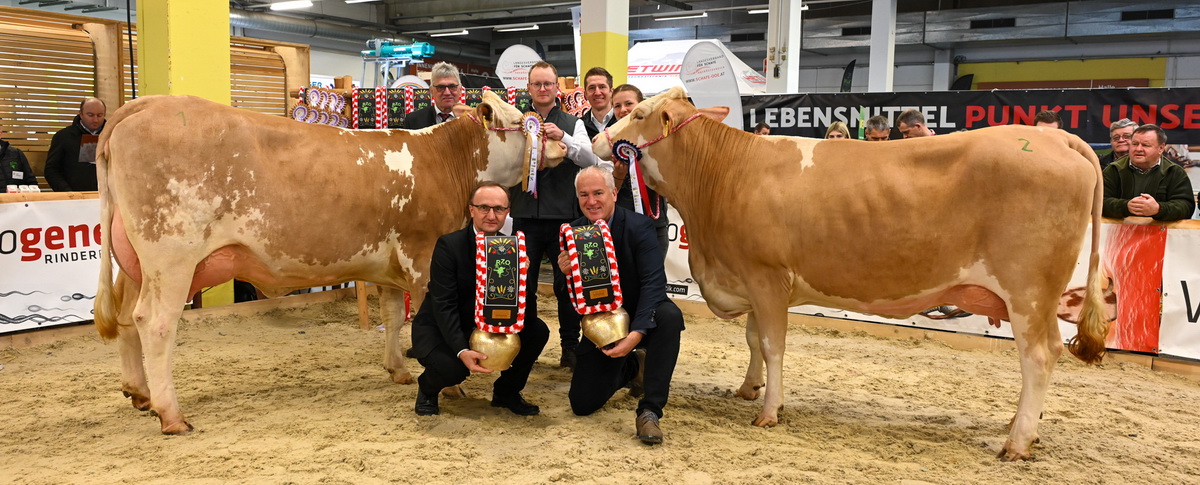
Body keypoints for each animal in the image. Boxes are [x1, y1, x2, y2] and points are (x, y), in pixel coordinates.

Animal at [93, 91, 561, 434]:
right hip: (171, 254)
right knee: (155, 323)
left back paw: (139, 394)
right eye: (521, 120)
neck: (442, 161)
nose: (556, 138)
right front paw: (449, 389)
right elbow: (432, 323)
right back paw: (171, 415)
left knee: (127, 319)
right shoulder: (422, 254)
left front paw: (398, 369)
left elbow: (393, 316)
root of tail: (147, 103)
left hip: (137, 263)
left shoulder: (389, 265)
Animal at [595, 87, 1108, 463]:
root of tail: (1057, 139)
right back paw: (1019, 425)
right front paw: (748, 388)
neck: (726, 175)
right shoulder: (751, 278)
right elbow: (753, 338)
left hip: (1029, 291)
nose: (600, 138)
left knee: (1039, 355)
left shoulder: (767, 276)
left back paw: (1017, 442)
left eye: (636, 111)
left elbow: (772, 345)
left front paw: (769, 411)